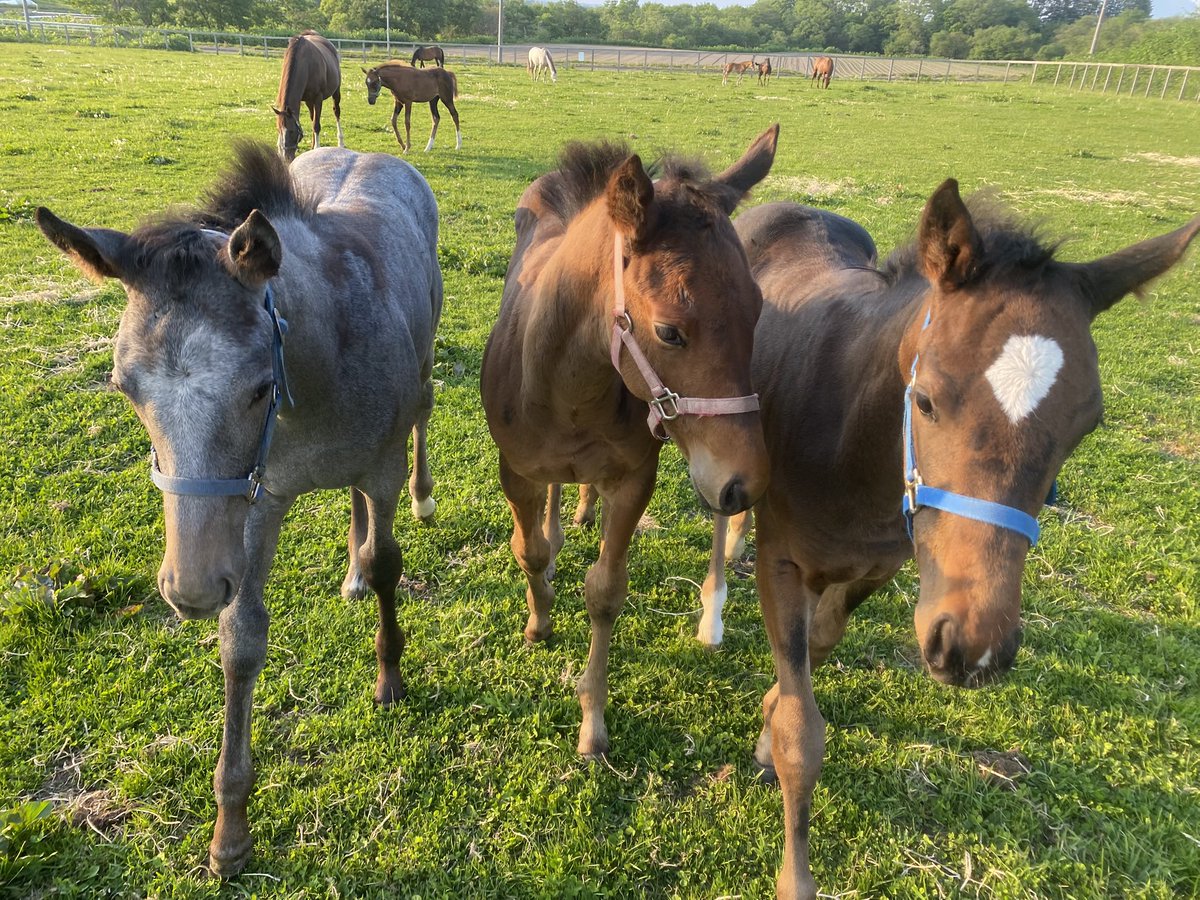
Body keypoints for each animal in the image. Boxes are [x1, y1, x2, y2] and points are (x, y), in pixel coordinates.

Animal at [34, 142, 444, 877]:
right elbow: (242, 640)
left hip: (424, 367)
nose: (191, 588)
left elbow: (389, 561)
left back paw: (417, 508)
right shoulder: (256, 500)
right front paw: (229, 832)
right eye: (123, 386)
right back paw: (348, 575)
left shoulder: (381, 470)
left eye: (258, 385)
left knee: (424, 412)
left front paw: (390, 675)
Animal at [273, 30, 343, 163]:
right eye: (278, 130)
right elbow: (313, 122)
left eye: (291, 131)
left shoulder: (318, 98)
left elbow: (316, 126)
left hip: (336, 92)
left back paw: (340, 142)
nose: (287, 158)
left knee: (336, 112)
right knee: (313, 117)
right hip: (309, 102)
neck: (305, 64)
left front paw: (317, 148)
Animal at [480, 125, 780, 759]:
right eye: (669, 331)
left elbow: (605, 590)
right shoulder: (514, 469)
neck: (571, 388)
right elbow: (529, 550)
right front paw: (539, 622)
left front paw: (592, 723)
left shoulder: (633, 479)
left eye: (758, 311)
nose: (745, 483)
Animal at [694, 188, 1199, 899]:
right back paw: (711, 607)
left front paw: (768, 715)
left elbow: (818, 644)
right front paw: (793, 870)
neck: (854, 441)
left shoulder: (884, 564)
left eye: (1087, 423)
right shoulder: (784, 562)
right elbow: (801, 733)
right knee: (722, 502)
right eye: (927, 400)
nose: (974, 648)